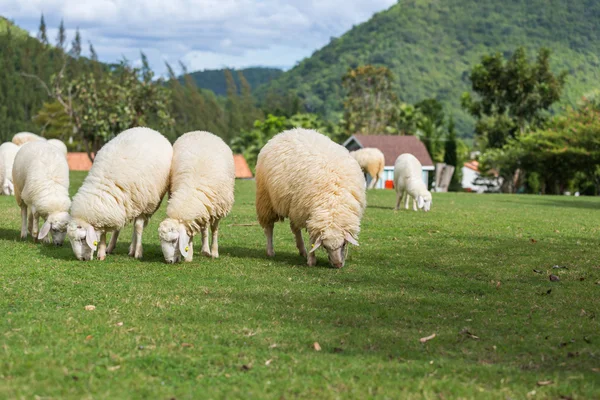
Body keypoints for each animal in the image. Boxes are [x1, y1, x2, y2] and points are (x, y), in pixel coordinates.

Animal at [66, 126, 172, 260]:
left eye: (82, 239)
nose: (82, 259)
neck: (105, 185)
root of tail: (148, 129)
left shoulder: (144, 204)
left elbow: (138, 227)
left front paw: (138, 252)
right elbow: (104, 232)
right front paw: (102, 252)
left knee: (137, 226)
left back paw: (133, 248)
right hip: (126, 205)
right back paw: (112, 247)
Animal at [158, 130, 236, 264]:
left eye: (174, 240)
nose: (169, 261)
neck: (192, 188)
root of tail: (200, 131)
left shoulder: (218, 209)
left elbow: (214, 230)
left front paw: (214, 252)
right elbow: (191, 234)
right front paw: (189, 255)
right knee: (204, 228)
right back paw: (204, 250)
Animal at [254, 126, 366, 268]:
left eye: (343, 244)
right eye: (325, 246)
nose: (337, 265)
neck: (333, 201)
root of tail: (287, 132)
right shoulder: (310, 213)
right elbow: (313, 239)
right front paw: (312, 261)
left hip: (294, 205)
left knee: (295, 228)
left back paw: (302, 250)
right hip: (266, 199)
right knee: (269, 227)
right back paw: (270, 251)